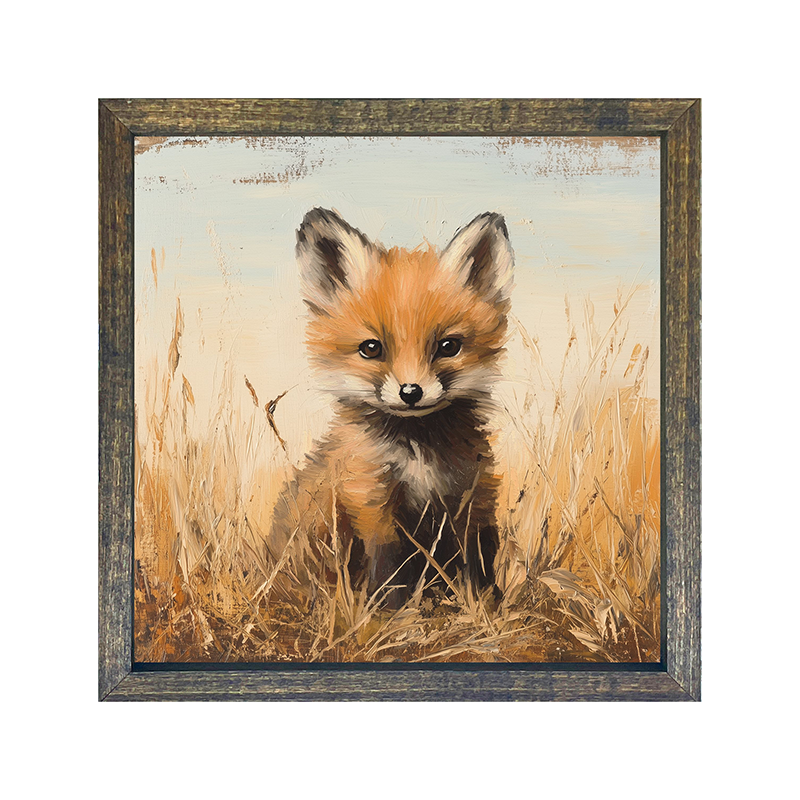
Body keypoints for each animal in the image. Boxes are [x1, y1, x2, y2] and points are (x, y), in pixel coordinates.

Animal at [271, 207, 514, 606]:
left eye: (448, 346)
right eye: (371, 348)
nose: (411, 391)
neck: (418, 453)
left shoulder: (471, 494)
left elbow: (478, 560)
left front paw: (484, 605)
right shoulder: (370, 499)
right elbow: (390, 565)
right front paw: (395, 612)